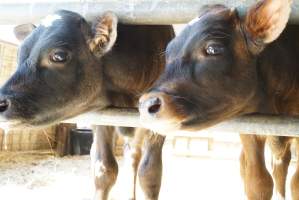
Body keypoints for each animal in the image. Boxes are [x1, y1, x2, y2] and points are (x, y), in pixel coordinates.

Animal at [139, 0, 298, 199]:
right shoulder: (250, 130)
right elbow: (258, 182)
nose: (147, 104)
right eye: (167, 54)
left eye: (213, 49)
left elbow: (295, 184)